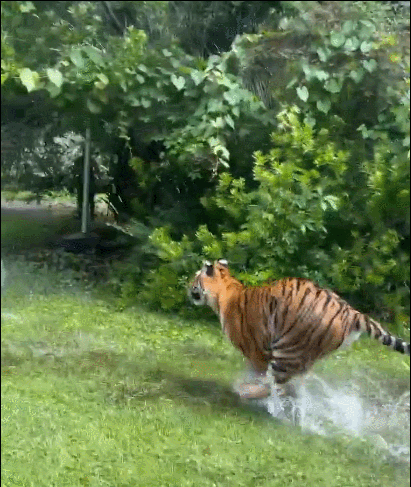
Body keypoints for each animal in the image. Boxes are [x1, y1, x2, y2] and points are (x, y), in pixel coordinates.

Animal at [189, 259, 410, 399]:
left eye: (195, 277)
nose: (186, 285)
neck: (226, 289)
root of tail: (351, 313)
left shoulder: (256, 351)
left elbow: (258, 373)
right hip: (304, 355)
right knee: (290, 385)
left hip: (287, 351)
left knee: (278, 386)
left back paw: (249, 395)